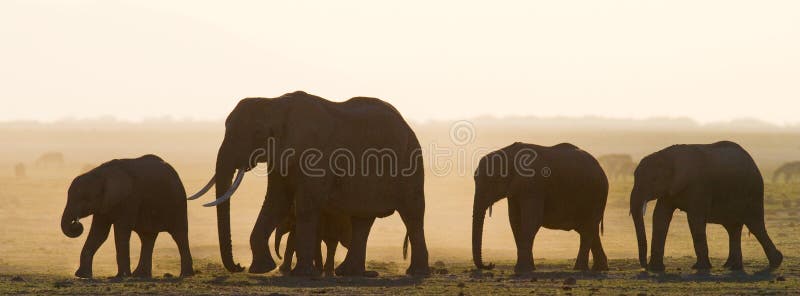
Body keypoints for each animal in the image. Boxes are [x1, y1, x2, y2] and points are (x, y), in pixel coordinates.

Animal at [60, 155, 195, 278]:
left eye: (84, 199)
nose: (76, 222)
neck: (102, 174)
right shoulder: (103, 204)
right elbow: (99, 234)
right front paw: (82, 275)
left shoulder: (129, 199)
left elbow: (121, 231)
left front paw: (121, 276)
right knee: (147, 237)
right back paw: (140, 275)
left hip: (178, 203)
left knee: (179, 235)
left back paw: (185, 274)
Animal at [189, 91, 432, 276]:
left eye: (258, 133)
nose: (238, 267)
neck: (276, 104)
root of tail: (407, 125)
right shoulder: (280, 156)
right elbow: (275, 202)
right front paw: (261, 269)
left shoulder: (316, 156)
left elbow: (306, 205)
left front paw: (302, 274)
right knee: (362, 220)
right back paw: (349, 273)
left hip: (410, 161)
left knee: (412, 214)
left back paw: (416, 273)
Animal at [472, 142, 608, 274]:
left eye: (491, 181)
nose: (491, 264)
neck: (510, 154)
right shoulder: (515, 191)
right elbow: (515, 222)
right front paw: (529, 269)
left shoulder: (532, 185)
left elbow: (531, 222)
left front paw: (522, 270)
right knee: (590, 229)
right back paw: (599, 268)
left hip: (596, 195)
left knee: (587, 229)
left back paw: (580, 269)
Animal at [632, 140, 780, 270]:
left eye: (653, 180)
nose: (644, 266)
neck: (668, 155)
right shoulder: (670, 189)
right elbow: (660, 217)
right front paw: (656, 269)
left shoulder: (698, 186)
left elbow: (694, 219)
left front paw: (700, 268)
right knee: (733, 229)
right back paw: (731, 266)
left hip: (753, 192)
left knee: (755, 225)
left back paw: (775, 263)